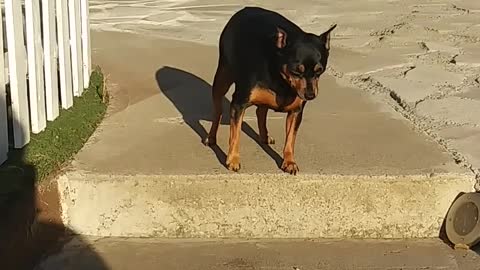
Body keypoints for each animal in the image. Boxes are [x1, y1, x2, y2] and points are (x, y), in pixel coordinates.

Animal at [204, 7, 336, 175]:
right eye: (296, 71)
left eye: (320, 71)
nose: (310, 95)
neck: (282, 80)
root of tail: (245, 9)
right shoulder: (238, 104)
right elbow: (235, 134)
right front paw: (233, 160)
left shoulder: (296, 111)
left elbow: (290, 139)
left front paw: (289, 162)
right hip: (223, 77)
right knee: (218, 111)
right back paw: (211, 137)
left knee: (261, 111)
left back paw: (264, 136)